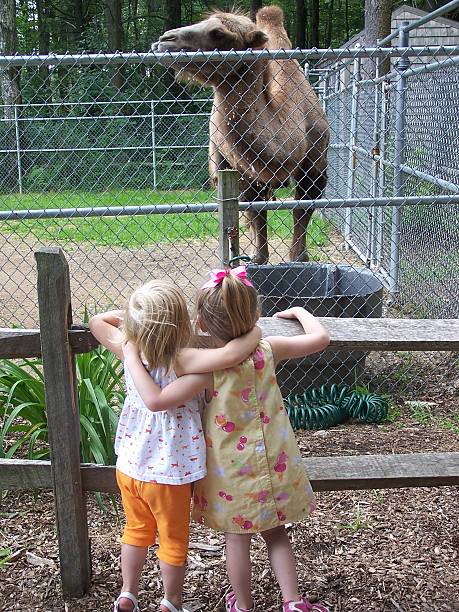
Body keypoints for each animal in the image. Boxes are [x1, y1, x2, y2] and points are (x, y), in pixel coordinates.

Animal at [155, 5, 330, 262]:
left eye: (218, 33)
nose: (165, 39)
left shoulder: (316, 163)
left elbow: (303, 207)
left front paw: (299, 257)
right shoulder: (242, 169)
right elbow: (254, 212)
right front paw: (257, 257)